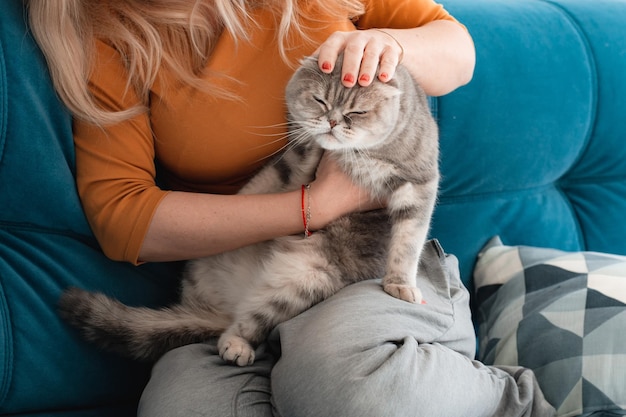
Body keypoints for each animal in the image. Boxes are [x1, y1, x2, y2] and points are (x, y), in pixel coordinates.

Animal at [59, 55, 438, 368]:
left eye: (356, 112)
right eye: (320, 101)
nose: (331, 122)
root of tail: (224, 304)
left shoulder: (419, 186)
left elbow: (407, 244)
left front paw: (400, 283)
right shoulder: (298, 161)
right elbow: (304, 165)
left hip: (305, 281)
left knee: (247, 322)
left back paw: (237, 344)